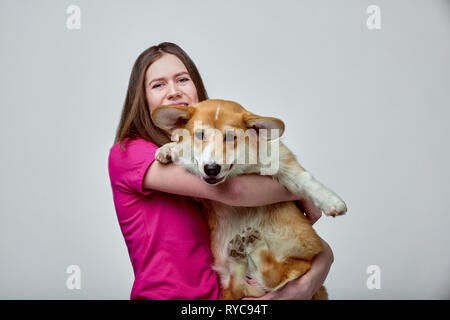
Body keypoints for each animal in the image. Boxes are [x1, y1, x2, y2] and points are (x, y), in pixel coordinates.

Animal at [149, 99, 346, 298]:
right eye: (200, 135)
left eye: (230, 137)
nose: (211, 169)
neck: (242, 169)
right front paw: (168, 149)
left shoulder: (282, 160)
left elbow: (306, 179)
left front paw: (333, 202)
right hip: (232, 280)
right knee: (243, 284)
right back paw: (240, 253)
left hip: (300, 259)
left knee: (275, 277)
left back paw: (253, 244)